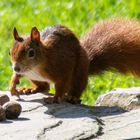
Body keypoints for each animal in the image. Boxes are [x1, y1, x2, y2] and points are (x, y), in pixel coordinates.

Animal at [9, 18, 140, 103]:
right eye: (10, 52)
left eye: (31, 53)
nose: (16, 67)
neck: (36, 67)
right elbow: (16, 77)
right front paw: (12, 85)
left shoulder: (62, 68)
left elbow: (60, 86)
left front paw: (55, 98)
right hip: (35, 78)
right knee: (45, 86)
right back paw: (29, 88)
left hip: (79, 71)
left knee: (77, 86)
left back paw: (72, 97)